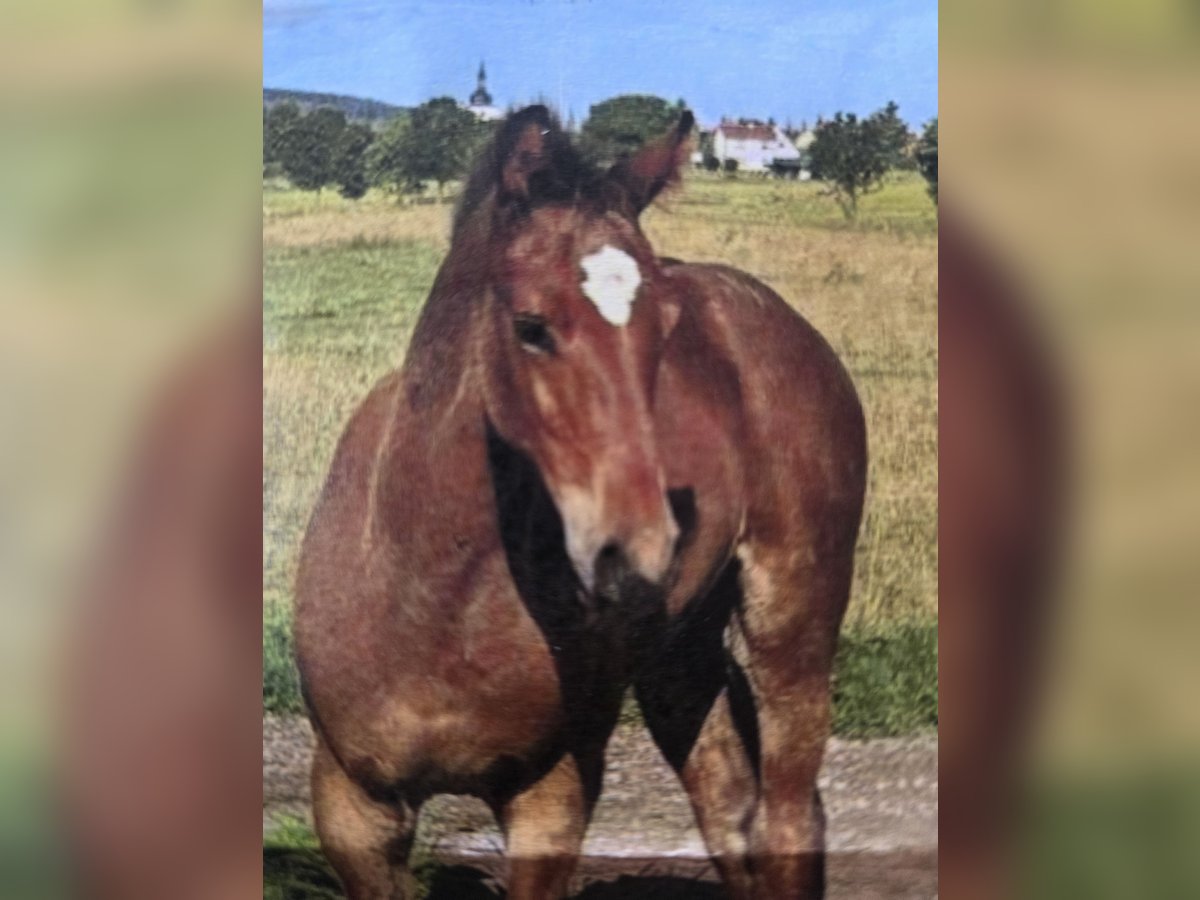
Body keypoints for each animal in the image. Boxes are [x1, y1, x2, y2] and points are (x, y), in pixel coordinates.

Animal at [293, 105, 867, 900]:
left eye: (667, 329)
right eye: (531, 327)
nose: (642, 550)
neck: (427, 597)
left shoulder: (551, 796)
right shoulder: (352, 804)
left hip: (795, 616)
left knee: (786, 819)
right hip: (678, 653)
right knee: (727, 805)